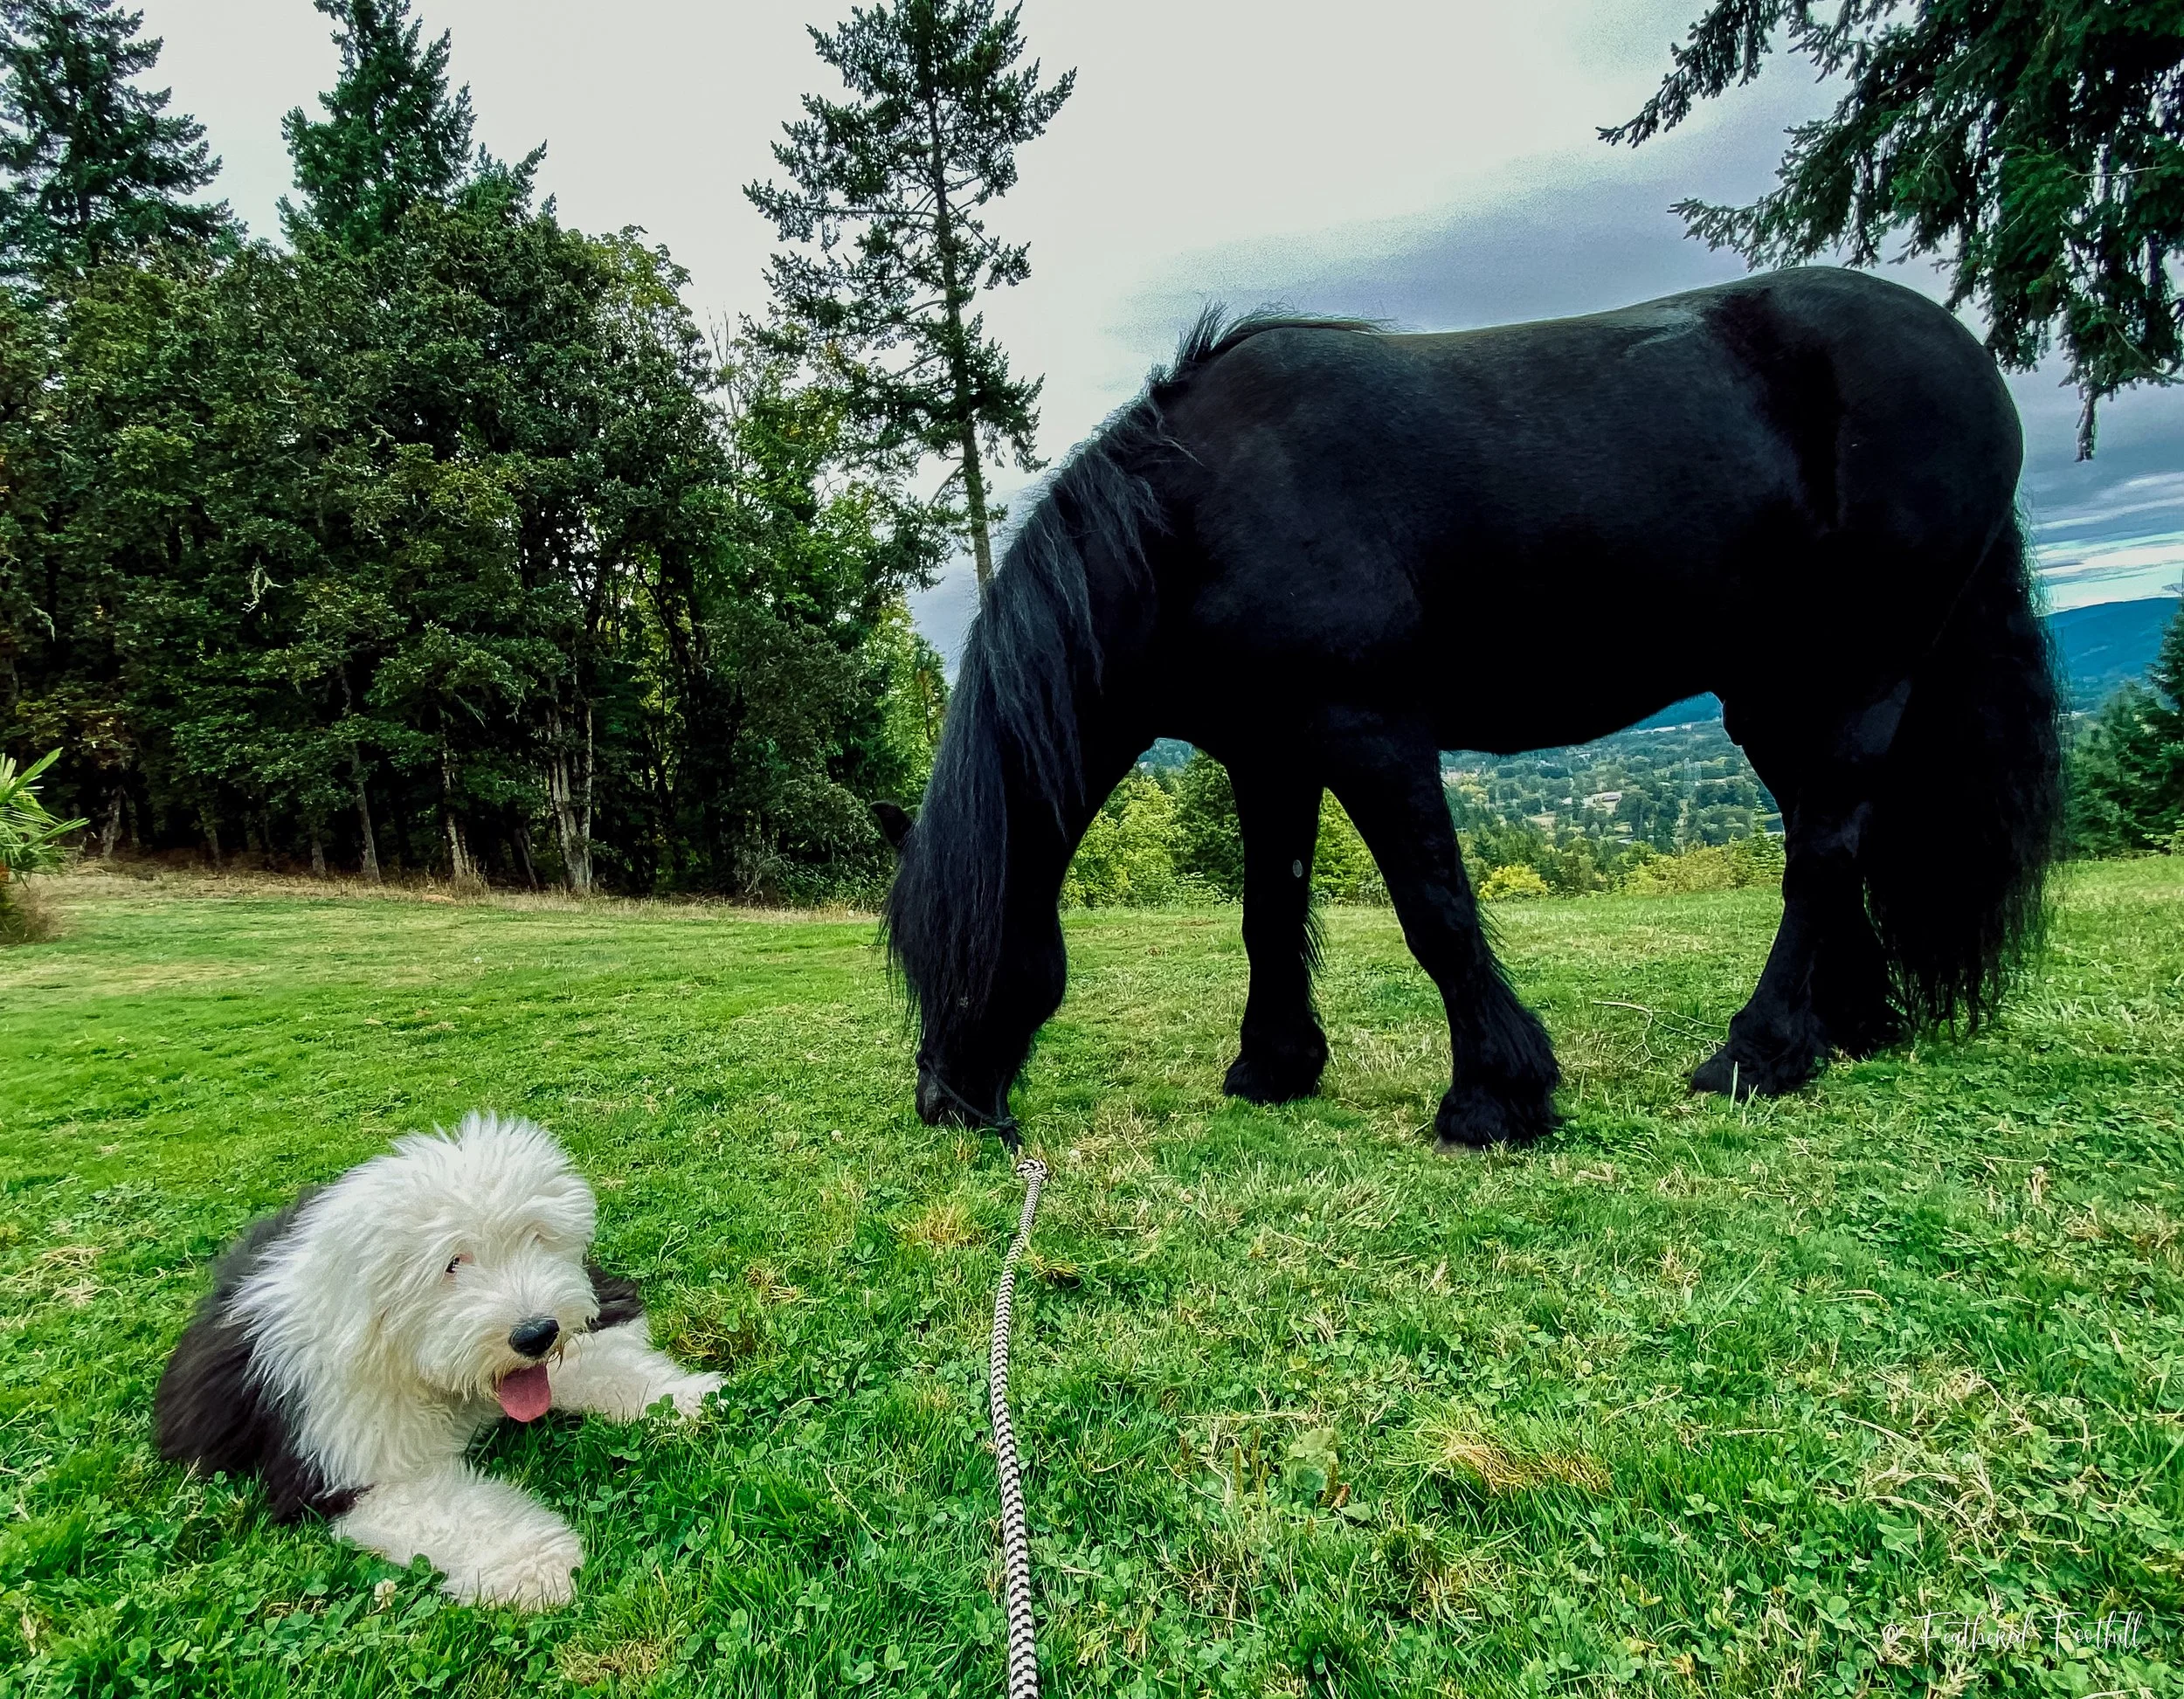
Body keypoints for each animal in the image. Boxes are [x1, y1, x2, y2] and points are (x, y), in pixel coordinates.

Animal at [878, 266, 2063, 1149]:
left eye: (962, 951)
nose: (942, 1104)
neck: (1190, 515)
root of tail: (1959, 351)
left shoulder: (1371, 731)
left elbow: (1435, 909)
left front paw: (1495, 1095)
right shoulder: (1270, 756)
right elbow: (1269, 914)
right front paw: (1275, 1065)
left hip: (1861, 677)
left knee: (1819, 852)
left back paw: (1758, 1053)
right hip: (1774, 699)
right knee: (1836, 842)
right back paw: (1843, 1029)